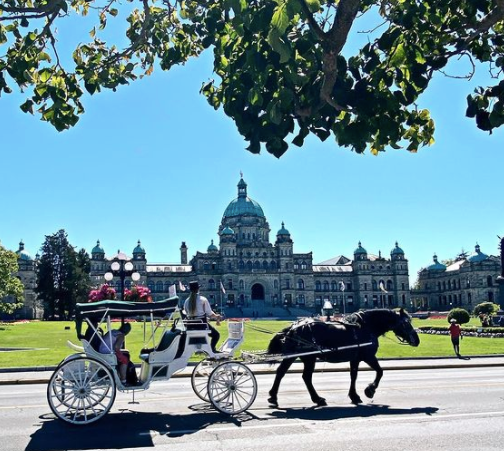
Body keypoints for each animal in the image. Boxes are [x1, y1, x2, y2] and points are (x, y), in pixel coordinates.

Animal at [268, 308, 422, 408]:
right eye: (406, 323)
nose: (417, 340)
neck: (367, 326)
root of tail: (293, 326)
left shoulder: (356, 358)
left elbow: (353, 375)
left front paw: (354, 396)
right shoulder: (368, 356)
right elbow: (380, 371)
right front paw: (369, 390)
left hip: (301, 357)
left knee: (287, 373)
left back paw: (276, 397)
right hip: (306, 358)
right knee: (299, 376)